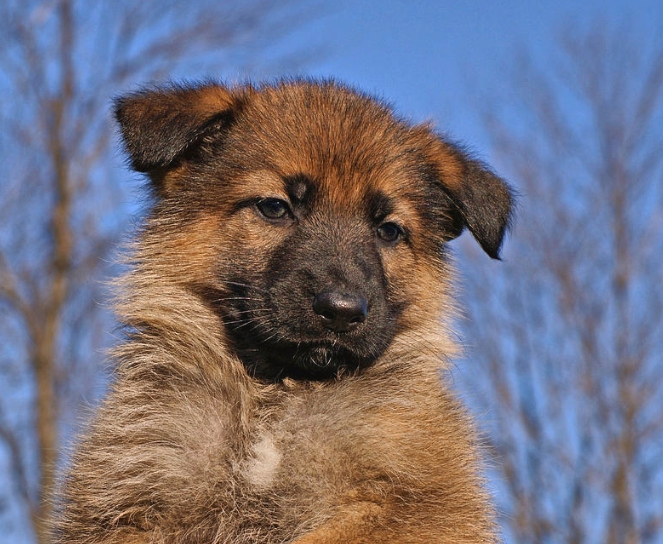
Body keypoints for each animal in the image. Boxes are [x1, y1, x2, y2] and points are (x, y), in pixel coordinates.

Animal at [55, 81, 512, 544]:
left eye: (388, 231)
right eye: (274, 208)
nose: (342, 311)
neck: (275, 394)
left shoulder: (424, 505)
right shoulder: (132, 498)